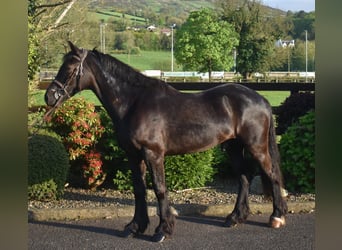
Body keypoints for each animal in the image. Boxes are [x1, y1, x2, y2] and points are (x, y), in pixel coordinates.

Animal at [44, 42, 288, 242]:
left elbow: (159, 189)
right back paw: (235, 217)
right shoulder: (133, 156)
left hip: (256, 147)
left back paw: (277, 217)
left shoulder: (153, 154)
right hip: (234, 147)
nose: (49, 96)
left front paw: (163, 230)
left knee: (272, 174)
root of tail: (261, 99)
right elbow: (139, 190)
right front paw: (135, 227)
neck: (134, 102)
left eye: (70, 68)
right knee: (245, 177)